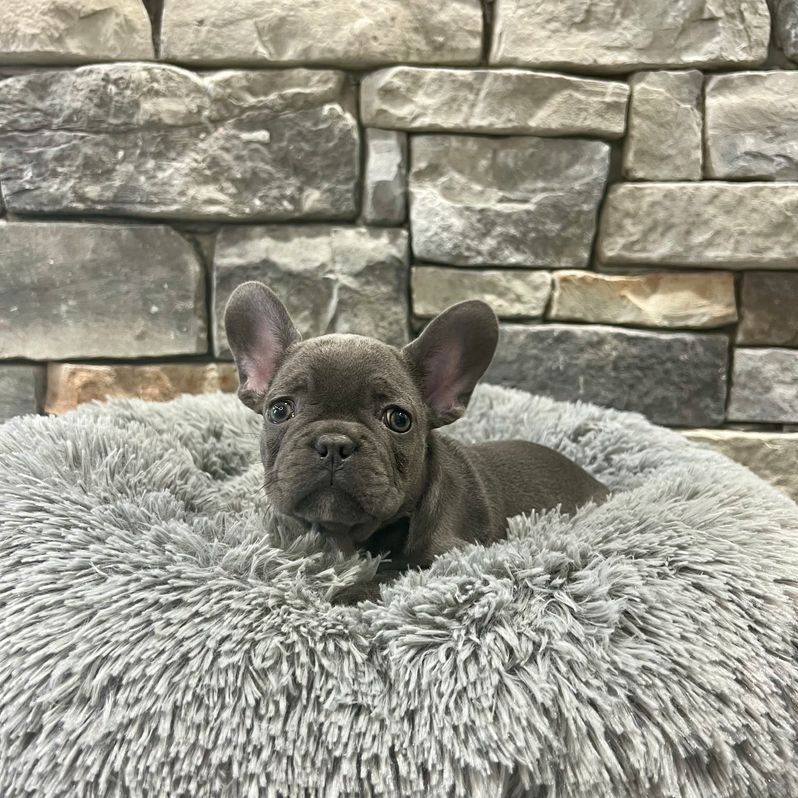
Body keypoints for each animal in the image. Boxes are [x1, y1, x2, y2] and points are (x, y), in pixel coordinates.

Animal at [225, 282, 609, 603]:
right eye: (279, 410)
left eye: (399, 420)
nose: (334, 443)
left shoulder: (448, 554)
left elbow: (396, 572)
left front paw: (349, 591)